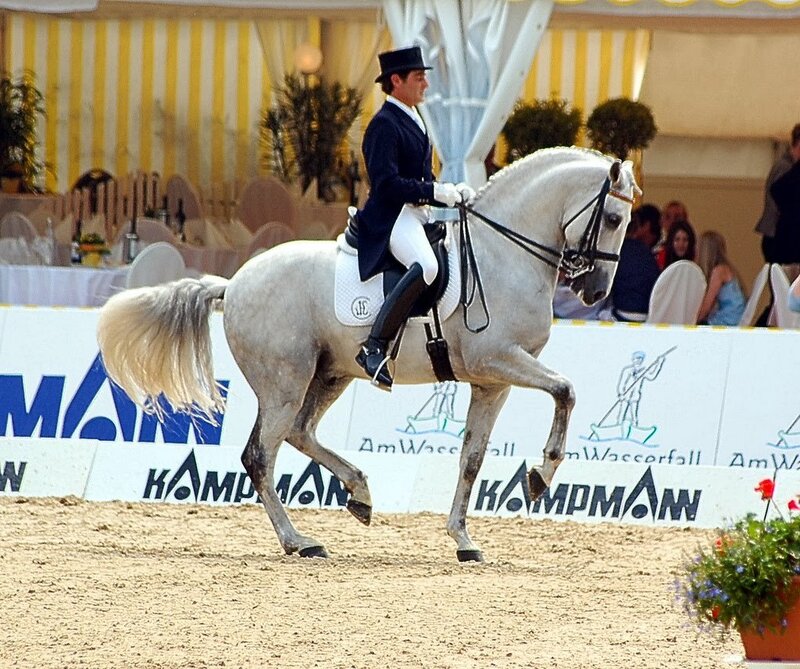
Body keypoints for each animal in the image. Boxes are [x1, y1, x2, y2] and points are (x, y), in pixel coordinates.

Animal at [97, 147, 640, 562]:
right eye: (613, 219)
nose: (595, 291)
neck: (504, 254)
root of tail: (233, 284)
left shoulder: (493, 382)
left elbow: (471, 458)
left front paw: (463, 540)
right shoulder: (497, 360)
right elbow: (566, 390)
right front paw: (539, 476)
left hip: (329, 374)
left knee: (300, 432)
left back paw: (358, 492)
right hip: (284, 381)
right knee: (260, 454)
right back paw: (299, 541)